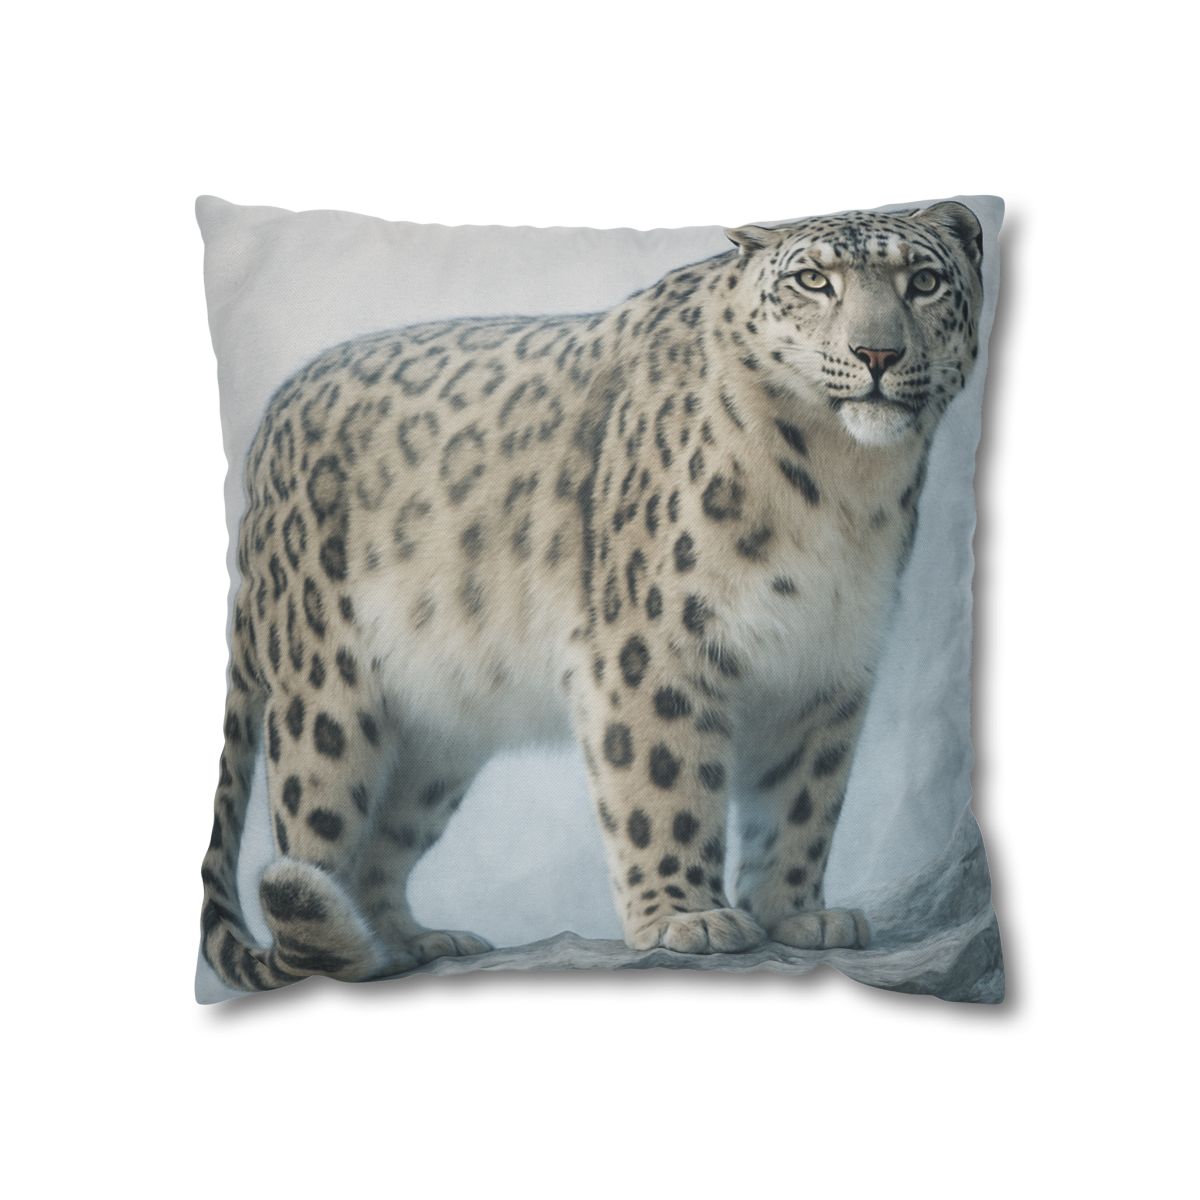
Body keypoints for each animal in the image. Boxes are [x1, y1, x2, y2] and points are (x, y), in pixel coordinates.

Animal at [199, 202, 984, 992]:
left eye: (923, 281)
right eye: (814, 281)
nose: (877, 353)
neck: (844, 486)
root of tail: (267, 433)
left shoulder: (828, 663)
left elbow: (803, 799)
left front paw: (797, 914)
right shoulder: (653, 644)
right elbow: (666, 782)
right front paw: (686, 917)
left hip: (435, 740)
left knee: (381, 842)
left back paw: (411, 943)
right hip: (326, 703)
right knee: (314, 841)